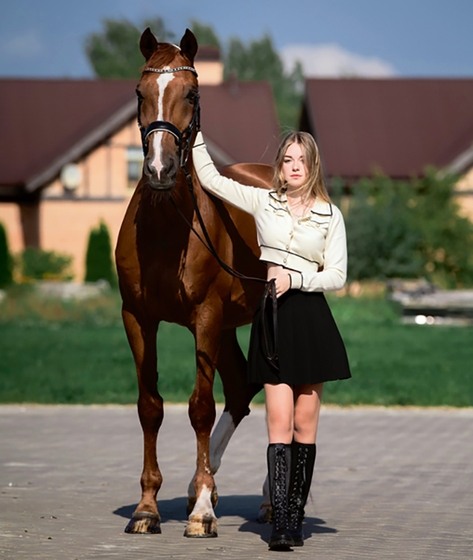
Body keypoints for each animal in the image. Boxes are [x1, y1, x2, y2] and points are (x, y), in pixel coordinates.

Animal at [115, 28, 272, 536]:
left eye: (192, 94)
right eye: (139, 93)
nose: (159, 170)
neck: (169, 229)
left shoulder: (205, 316)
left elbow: (199, 407)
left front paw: (203, 510)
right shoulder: (137, 318)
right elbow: (150, 406)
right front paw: (147, 507)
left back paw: (261, 499)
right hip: (226, 329)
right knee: (241, 391)